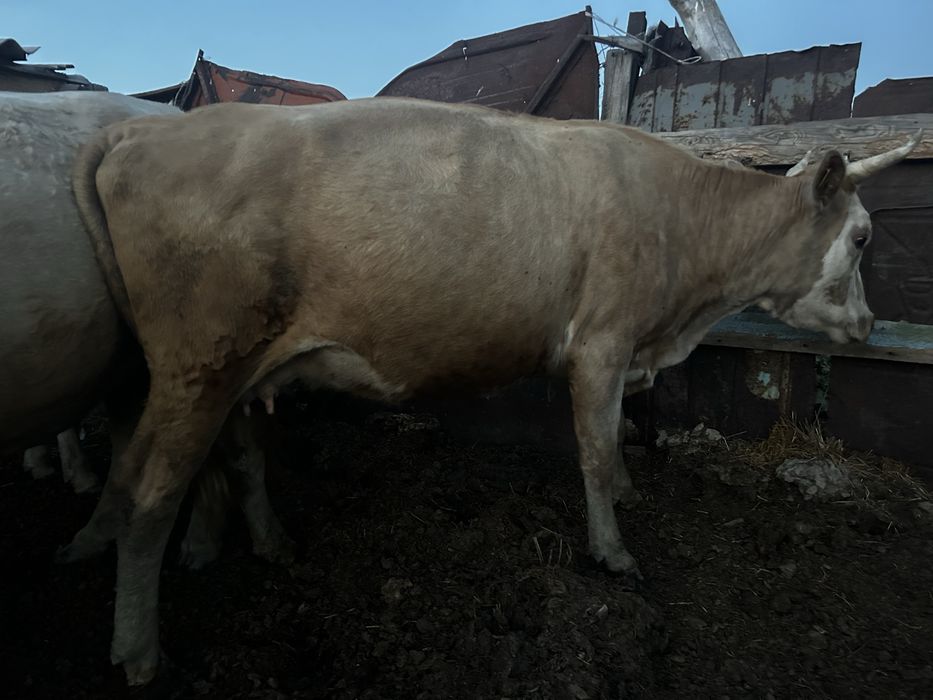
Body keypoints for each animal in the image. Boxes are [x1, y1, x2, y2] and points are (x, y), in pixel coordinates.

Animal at [69, 96, 919, 684]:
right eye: (861, 237)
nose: (867, 323)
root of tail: (144, 131)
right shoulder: (600, 343)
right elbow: (593, 445)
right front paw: (612, 550)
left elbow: (612, 442)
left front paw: (628, 491)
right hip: (197, 368)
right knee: (147, 494)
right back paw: (139, 651)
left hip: (212, 375)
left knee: (191, 464)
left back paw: (256, 548)